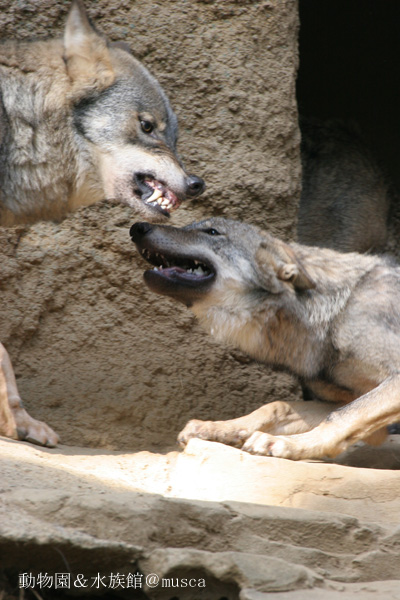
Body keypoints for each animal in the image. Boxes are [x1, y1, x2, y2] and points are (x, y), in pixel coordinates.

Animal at [131, 218, 400, 462]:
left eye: (212, 232)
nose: (137, 227)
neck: (335, 311)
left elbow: (339, 417)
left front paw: (289, 444)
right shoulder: (355, 408)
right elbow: (276, 406)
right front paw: (217, 428)